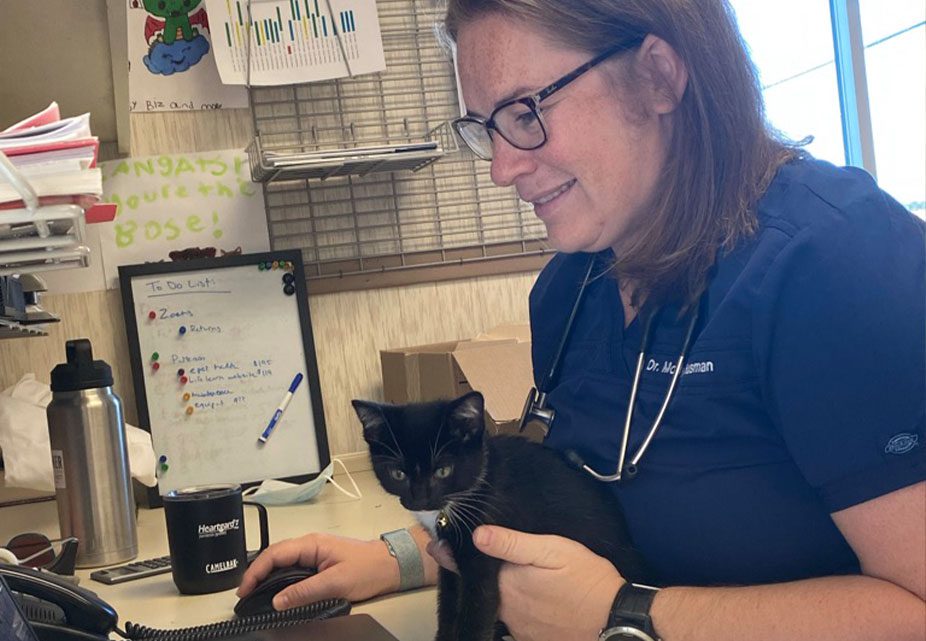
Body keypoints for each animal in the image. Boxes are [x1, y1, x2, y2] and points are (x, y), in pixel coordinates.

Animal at [356, 390, 652, 640]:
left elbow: (477, 612)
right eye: (398, 474)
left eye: (443, 471)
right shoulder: (448, 564)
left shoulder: (482, 556)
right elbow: (448, 606)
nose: (420, 499)